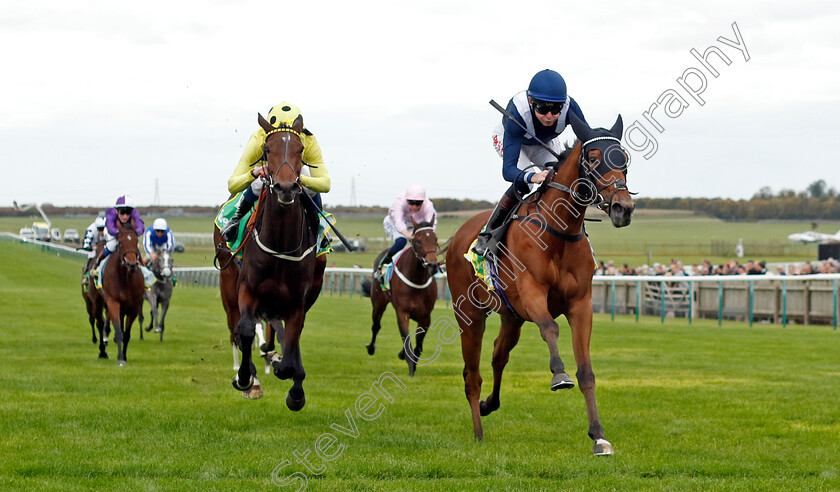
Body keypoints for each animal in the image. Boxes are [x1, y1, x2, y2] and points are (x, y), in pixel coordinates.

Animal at [101, 220, 147, 366]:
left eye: (136, 240)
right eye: (120, 242)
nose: (131, 264)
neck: (124, 279)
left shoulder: (134, 307)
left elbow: (126, 334)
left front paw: (124, 356)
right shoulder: (113, 302)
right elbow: (119, 331)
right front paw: (120, 358)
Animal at [231, 113, 326, 410]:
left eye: (300, 149)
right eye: (266, 149)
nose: (285, 187)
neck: (281, 244)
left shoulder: (297, 300)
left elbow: (293, 340)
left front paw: (294, 386)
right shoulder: (246, 289)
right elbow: (246, 330)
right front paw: (245, 378)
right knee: (236, 329)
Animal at [370, 222, 446, 376]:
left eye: (435, 239)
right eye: (418, 241)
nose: (433, 265)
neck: (416, 279)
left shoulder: (425, 316)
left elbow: (418, 344)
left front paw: (408, 359)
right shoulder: (402, 313)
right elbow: (407, 340)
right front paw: (411, 368)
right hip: (378, 303)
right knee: (376, 325)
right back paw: (371, 348)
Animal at [446, 113, 632, 456]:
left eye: (623, 158)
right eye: (593, 159)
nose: (622, 208)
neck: (559, 232)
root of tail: (458, 237)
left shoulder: (580, 305)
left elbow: (586, 372)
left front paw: (599, 437)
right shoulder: (532, 294)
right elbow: (550, 328)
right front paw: (559, 374)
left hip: (511, 316)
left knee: (498, 355)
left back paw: (489, 405)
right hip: (469, 315)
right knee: (471, 374)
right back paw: (478, 431)